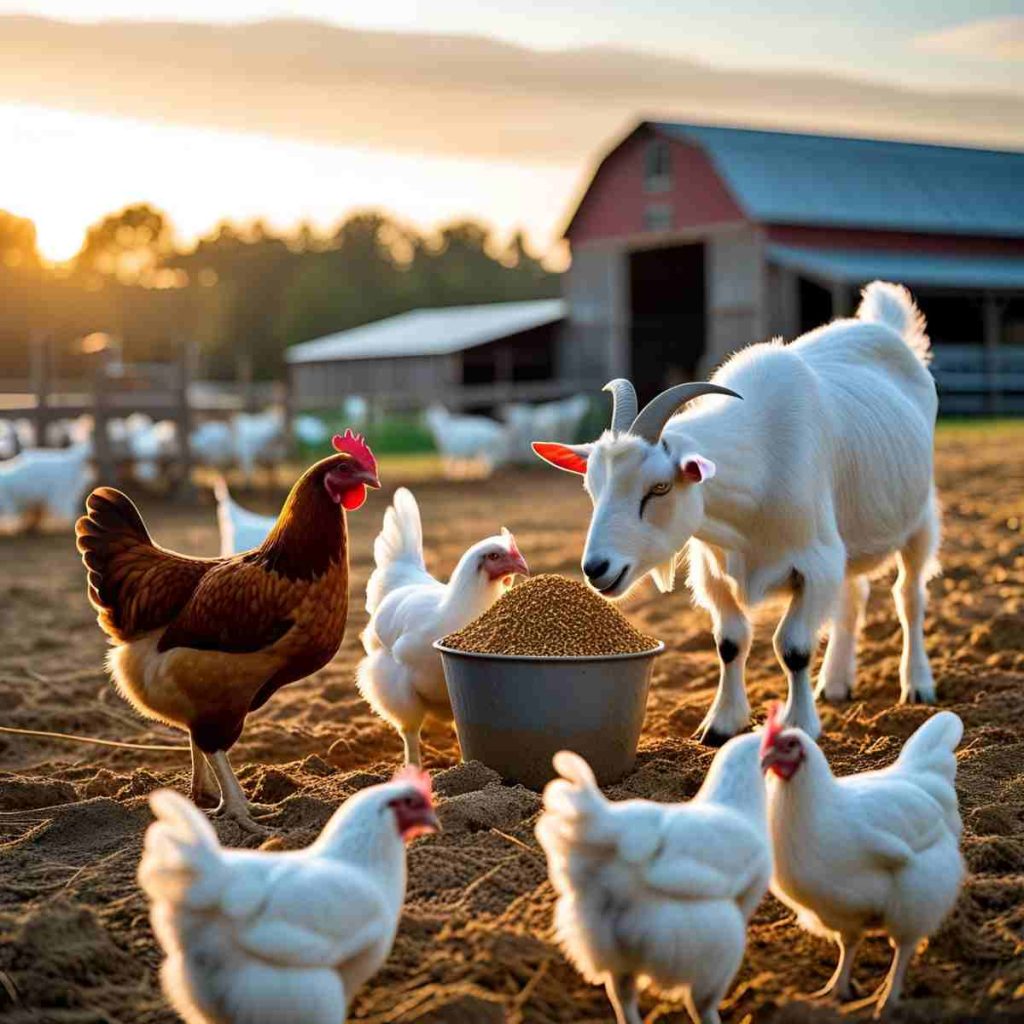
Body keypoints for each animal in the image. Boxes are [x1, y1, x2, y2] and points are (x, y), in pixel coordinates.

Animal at [534, 282, 939, 744]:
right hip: (849, 535)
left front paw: (799, 725)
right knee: (853, 596)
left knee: (909, 596)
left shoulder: (816, 563)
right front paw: (721, 724)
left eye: (659, 487)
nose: (596, 568)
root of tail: (884, 325)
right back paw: (836, 683)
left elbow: (793, 647)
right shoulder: (714, 569)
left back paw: (917, 684)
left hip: (920, 519)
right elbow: (730, 642)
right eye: (592, 487)